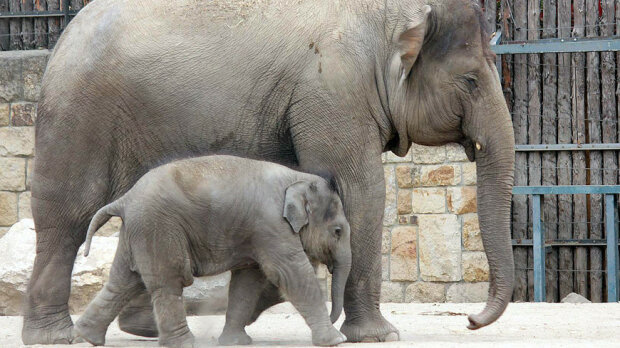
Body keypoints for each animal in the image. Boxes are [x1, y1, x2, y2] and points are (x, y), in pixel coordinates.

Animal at [75, 156, 352, 348]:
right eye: (338, 231)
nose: (335, 319)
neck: (297, 177)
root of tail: (124, 199)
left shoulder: (256, 232)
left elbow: (248, 281)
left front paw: (236, 342)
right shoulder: (271, 225)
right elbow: (292, 272)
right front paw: (336, 340)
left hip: (137, 230)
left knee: (122, 281)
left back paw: (87, 336)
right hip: (158, 227)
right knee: (169, 281)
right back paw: (185, 343)